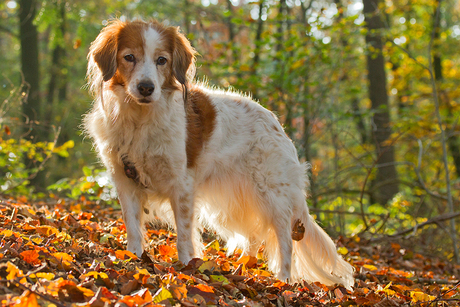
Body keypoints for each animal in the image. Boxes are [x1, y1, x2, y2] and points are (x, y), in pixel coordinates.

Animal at [84, 19, 354, 288]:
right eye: (129, 57)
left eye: (162, 60)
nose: (146, 88)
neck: (139, 122)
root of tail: (277, 125)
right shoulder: (125, 179)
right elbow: (132, 227)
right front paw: (133, 258)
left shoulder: (181, 186)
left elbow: (184, 235)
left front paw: (185, 267)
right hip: (233, 204)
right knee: (254, 236)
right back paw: (243, 268)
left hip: (273, 197)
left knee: (285, 242)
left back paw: (282, 281)